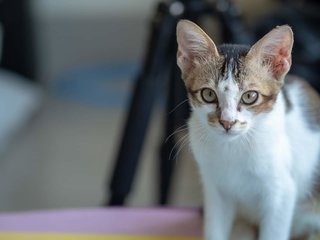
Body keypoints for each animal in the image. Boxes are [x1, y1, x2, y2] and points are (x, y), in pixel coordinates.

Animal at [176, 20, 320, 240]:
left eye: (250, 96)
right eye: (208, 94)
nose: (227, 122)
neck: (233, 147)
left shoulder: (281, 193)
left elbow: (273, 232)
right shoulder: (215, 189)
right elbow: (214, 228)